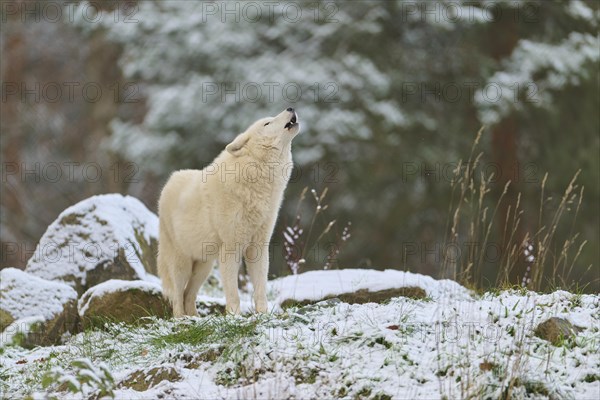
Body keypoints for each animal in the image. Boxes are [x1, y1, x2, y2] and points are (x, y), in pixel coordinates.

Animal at [158, 107, 300, 316]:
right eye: (267, 123)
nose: (291, 108)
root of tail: (169, 182)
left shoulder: (258, 247)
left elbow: (260, 289)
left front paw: (263, 315)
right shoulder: (230, 249)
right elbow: (233, 293)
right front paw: (235, 317)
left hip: (204, 266)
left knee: (188, 295)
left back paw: (195, 319)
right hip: (181, 264)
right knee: (177, 297)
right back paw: (181, 319)